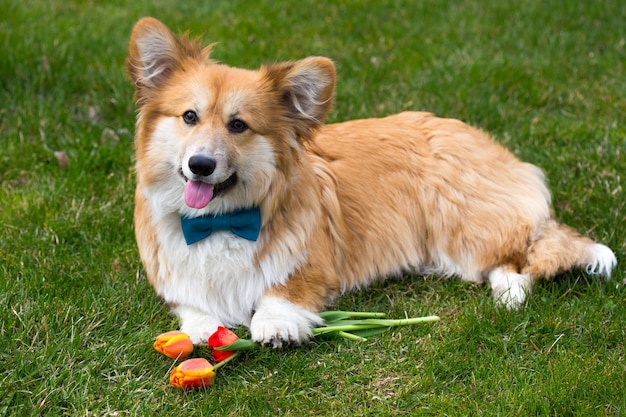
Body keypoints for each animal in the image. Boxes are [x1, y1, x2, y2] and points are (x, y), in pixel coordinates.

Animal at [127, 17, 616, 344]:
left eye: (238, 125)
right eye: (189, 117)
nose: (200, 165)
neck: (220, 219)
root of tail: (493, 147)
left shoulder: (312, 265)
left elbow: (281, 291)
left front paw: (275, 324)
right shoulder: (176, 276)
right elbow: (193, 306)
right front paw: (204, 329)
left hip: (460, 223)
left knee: (517, 256)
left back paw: (510, 293)